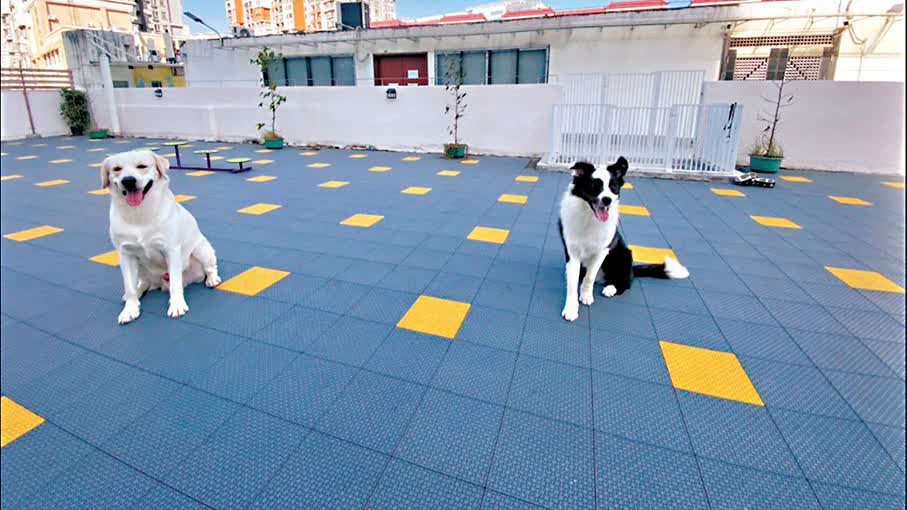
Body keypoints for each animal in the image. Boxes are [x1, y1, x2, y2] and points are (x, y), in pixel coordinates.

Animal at [102, 150, 221, 324]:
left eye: (142, 166)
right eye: (117, 169)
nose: (128, 180)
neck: (139, 215)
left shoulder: (171, 249)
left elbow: (176, 284)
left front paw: (177, 305)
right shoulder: (125, 255)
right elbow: (129, 287)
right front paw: (130, 309)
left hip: (201, 250)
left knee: (209, 268)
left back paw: (211, 280)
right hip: (141, 267)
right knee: (143, 283)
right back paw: (138, 292)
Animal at [559, 158, 689, 321]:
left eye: (613, 187)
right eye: (594, 186)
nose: (607, 200)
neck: (590, 218)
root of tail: (632, 270)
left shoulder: (602, 251)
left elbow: (590, 277)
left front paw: (586, 296)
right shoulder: (572, 252)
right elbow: (572, 283)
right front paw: (571, 309)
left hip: (624, 254)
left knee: (624, 283)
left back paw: (610, 288)